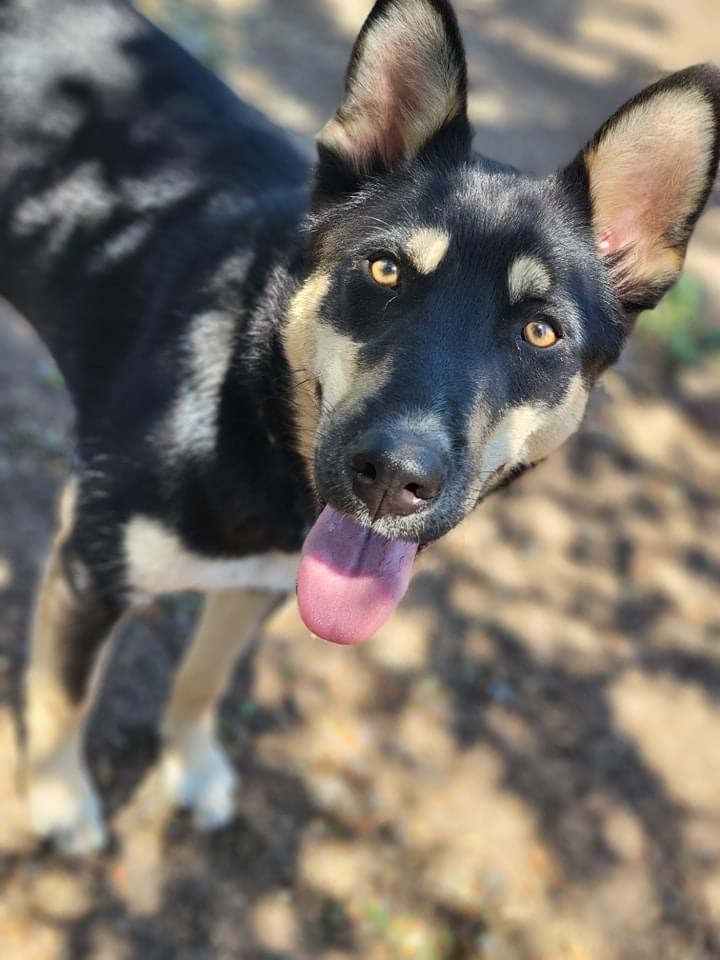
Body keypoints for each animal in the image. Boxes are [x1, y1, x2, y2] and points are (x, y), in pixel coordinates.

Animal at [1, 0, 720, 856]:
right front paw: (59, 801)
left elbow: (204, 676)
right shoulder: (89, 568)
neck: (248, 404)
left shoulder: (262, 583)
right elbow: (63, 699)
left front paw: (191, 766)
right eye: (384, 270)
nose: (393, 479)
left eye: (541, 332)